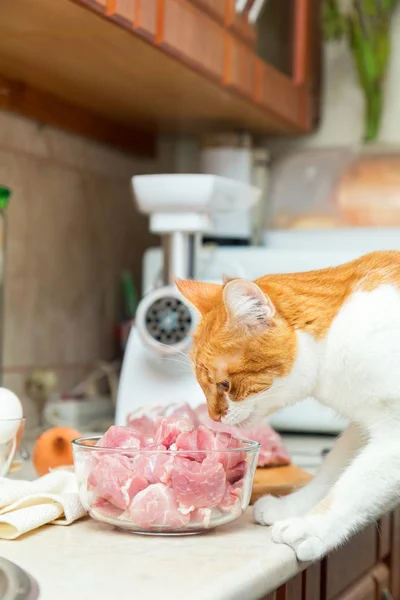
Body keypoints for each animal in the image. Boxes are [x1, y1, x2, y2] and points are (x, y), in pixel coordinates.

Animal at [177, 252, 400, 564]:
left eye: (224, 384)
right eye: (202, 384)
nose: (213, 416)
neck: (338, 335)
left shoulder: (392, 436)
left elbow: (352, 487)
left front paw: (311, 527)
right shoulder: (363, 424)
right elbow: (332, 471)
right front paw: (292, 507)